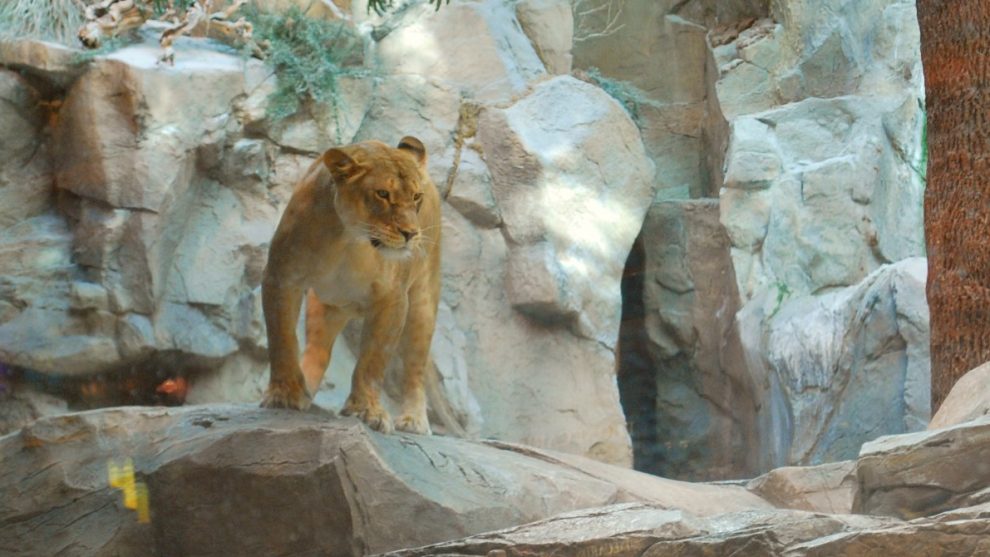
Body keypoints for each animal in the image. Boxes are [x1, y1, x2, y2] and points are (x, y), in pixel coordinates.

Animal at [259, 136, 441, 435]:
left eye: (416, 196)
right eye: (382, 194)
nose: (410, 233)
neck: (350, 239)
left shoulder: (393, 298)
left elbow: (373, 360)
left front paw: (367, 410)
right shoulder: (282, 276)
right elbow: (282, 339)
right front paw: (284, 394)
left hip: (423, 302)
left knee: (415, 368)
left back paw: (414, 419)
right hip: (325, 305)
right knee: (318, 353)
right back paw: (305, 392)